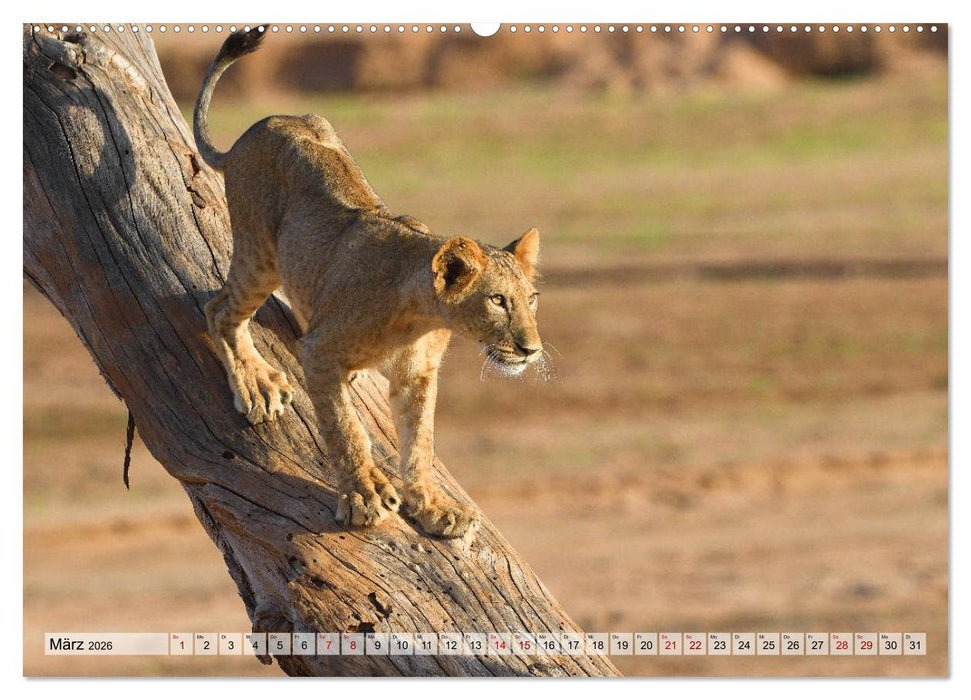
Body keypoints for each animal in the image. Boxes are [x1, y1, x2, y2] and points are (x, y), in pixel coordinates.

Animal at [194, 27, 544, 538]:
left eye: (532, 299)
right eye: (498, 300)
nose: (531, 349)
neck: (418, 318)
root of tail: (256, 128)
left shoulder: (419, 374)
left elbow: (420, 443)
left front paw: (434, 505)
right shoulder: (321, 351)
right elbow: (344, 427)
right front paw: (365, 494)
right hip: (260, 254)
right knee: (219, 308)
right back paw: (257, 384)